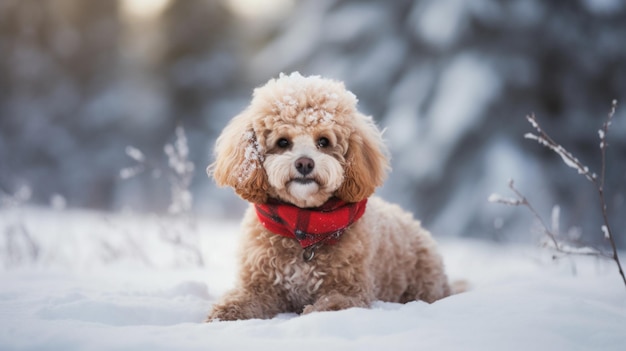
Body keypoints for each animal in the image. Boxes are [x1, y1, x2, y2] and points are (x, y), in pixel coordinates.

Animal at [207, 73, 450, 324]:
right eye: (283, 142)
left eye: (323, 141)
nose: (305, 163)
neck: (304, 228)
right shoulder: (260, 283)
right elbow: (245, 298)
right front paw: (225, 313)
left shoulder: (351, 290)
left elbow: (331, 305)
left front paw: (312, 315)